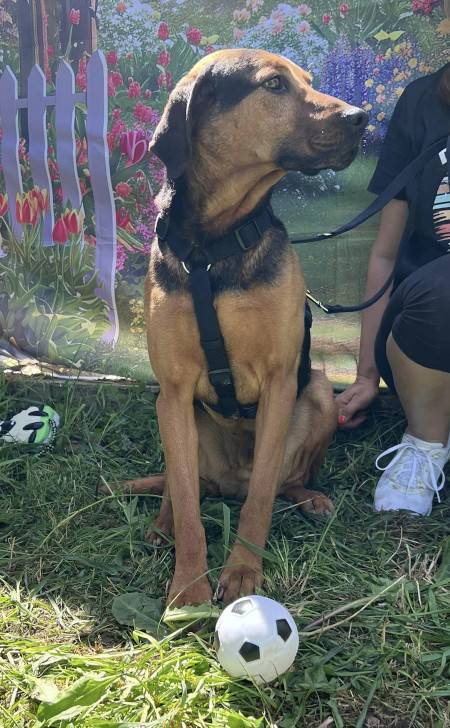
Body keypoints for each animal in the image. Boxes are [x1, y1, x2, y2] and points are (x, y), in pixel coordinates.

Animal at [105, 50, 367, 607]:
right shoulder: (174, 390)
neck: (215, 245)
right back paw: (161, 524)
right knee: (185, 485)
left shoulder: (279, 382)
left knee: (281, 481)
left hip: (318, 394)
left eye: (309, 81)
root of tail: (229, 481)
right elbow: (187, 503)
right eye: (274, 85)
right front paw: (188, 587)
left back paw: (309, 497)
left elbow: (263, 497)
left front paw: (244, 573)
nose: (362, 119)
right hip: (174, 416)